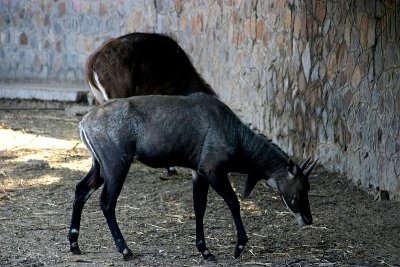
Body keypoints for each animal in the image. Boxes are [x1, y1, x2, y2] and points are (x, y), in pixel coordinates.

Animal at [69, 92, 318, 262]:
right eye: (301, 187)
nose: (308, 219)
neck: (235, 134)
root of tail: (84, 122)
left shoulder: (198, 172)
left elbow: (199, 207)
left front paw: (205, 250)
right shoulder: (212, 170)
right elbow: (233, 202)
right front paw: (238, 247)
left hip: (100, 167)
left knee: (81, 190)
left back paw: (74, 244)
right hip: (116, 165)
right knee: (106, 202)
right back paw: (125, 250)